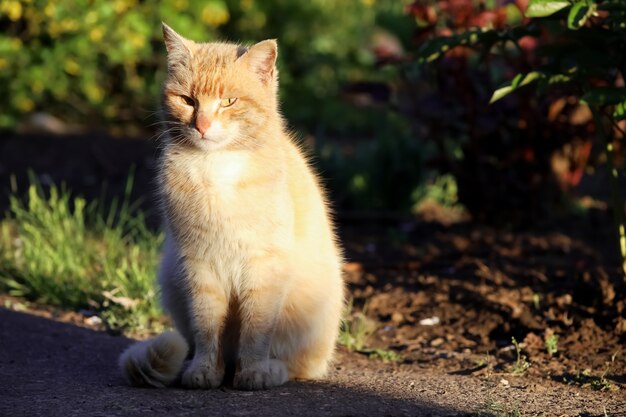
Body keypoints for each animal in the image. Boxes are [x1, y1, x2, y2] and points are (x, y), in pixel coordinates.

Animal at [117, 23, 342, 390]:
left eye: (228, 102)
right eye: (188, 100)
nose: (202, 126)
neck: (216, 169)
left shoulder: (262, 266)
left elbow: (256, 329)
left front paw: (253, 372)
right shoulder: (199, 266)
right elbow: (207, 327)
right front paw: (205, 370)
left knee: (299, 364)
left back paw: (272, 369)